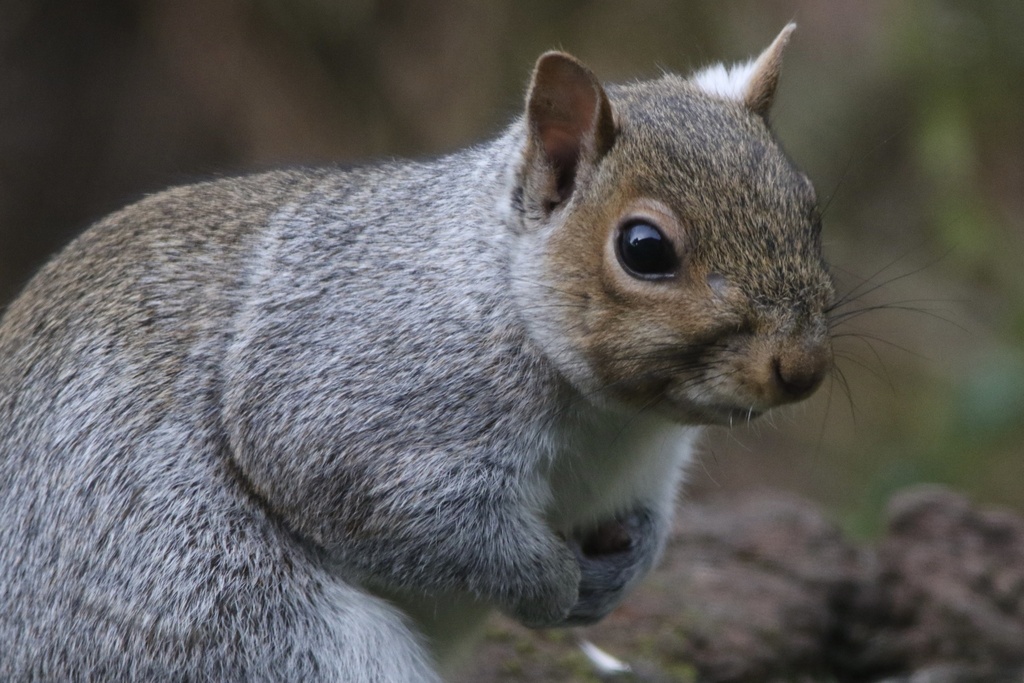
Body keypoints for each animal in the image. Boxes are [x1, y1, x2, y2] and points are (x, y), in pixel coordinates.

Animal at [0, 24, 832, 682]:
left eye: (809, 205)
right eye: (644, 248)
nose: (802, 369)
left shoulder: (648, 469)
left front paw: (622, 572)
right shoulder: (354, 393)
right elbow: (416, 520)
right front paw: (552, 583)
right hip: (235, 623)